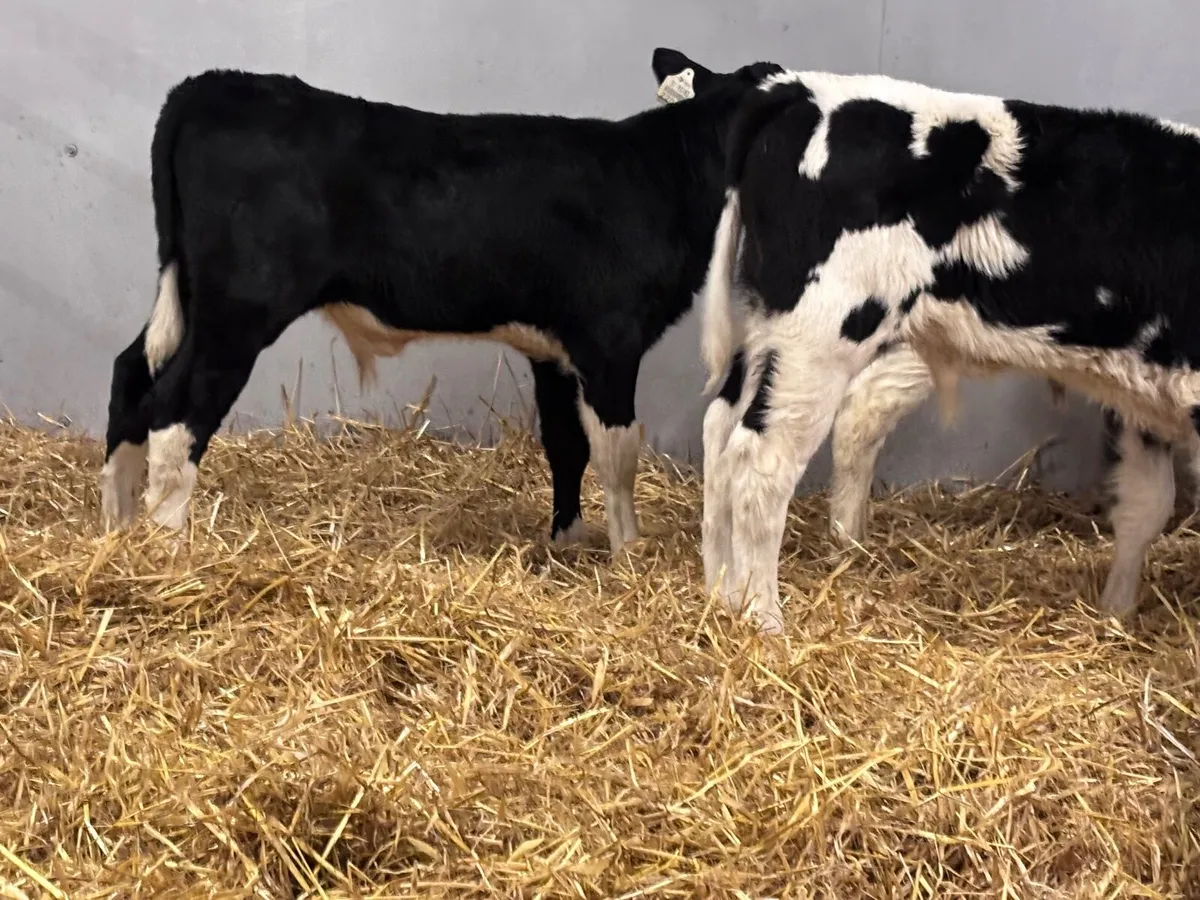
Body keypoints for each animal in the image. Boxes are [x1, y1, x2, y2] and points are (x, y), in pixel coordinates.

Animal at [98, 49, 784, 556]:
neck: (660, 178)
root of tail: (207, 87)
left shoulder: (553, 348)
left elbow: (567, 444)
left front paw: (565, 543)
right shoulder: (610, 340)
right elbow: (618, 453)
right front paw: (629, 554)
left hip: (188, 295)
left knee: (132, 373)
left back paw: (118, 525)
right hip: (239, 308)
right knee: (176, 404)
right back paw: (168, 542)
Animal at [697, 68, 1200, 633]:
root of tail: (795, 87)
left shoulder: (1146, 390)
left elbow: (1146, 506)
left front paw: (1116, 613)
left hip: (767, 325)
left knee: (722, 428)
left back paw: (722, 594)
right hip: (819, 336)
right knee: (761, 461)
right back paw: (763, 617)